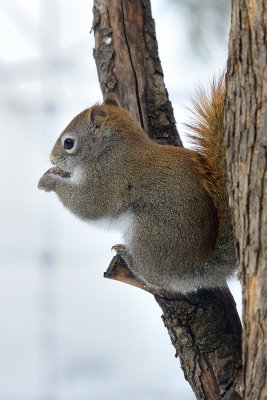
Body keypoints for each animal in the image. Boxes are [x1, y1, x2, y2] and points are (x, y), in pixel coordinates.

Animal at [38, 77, 237, 294]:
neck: (109, 149)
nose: (52, 159)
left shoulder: (108, 179)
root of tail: (197, 266)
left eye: (68, 143)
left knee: (156, 279)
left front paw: (49, 181)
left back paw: (130, 259)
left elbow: (88, 205)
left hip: (149, 234)